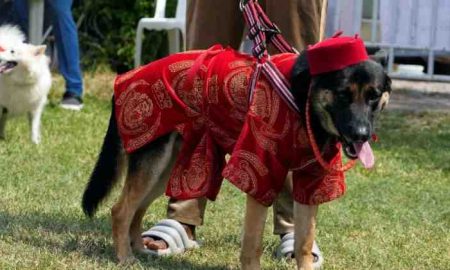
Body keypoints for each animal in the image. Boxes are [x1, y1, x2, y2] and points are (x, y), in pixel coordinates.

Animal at [81, 43, 390, 268]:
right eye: (343, 94)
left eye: (374, 96)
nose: (362, 135)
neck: (303, 100)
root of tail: (127, 77)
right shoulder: (259, 176)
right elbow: (252, 246)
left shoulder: (310, 182)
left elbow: (303, 244)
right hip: (152, 161)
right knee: (121, 210)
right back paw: (124, 257)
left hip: (163, 169)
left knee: (137, 210)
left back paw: (140, 250)